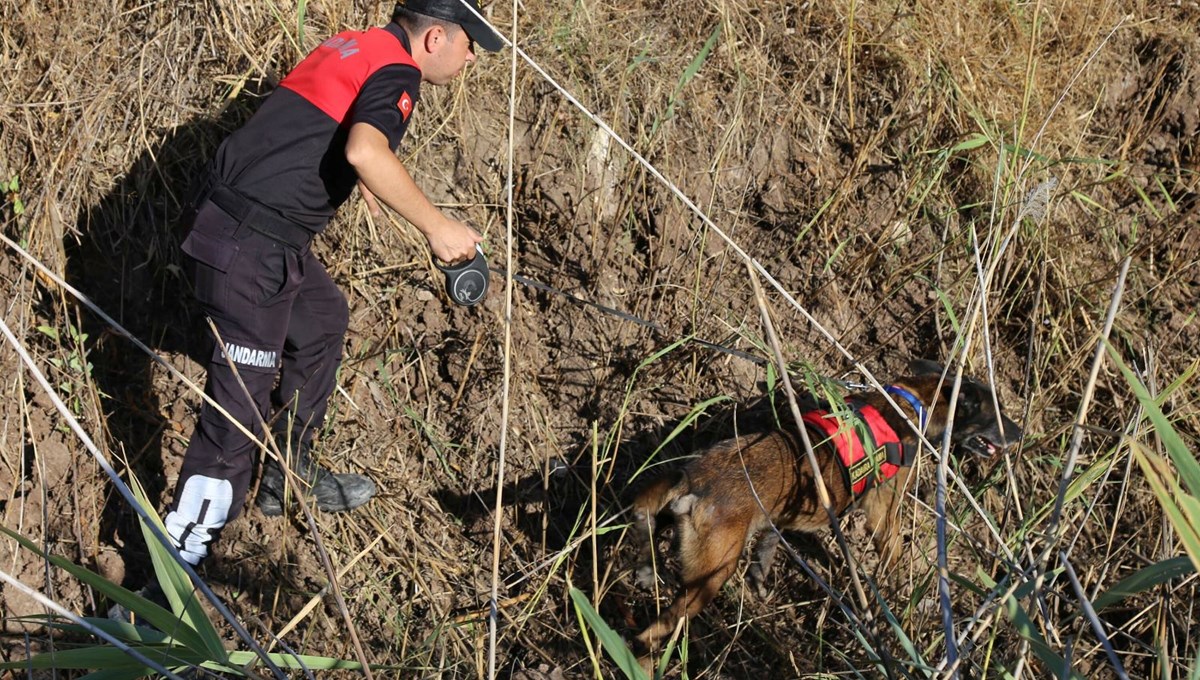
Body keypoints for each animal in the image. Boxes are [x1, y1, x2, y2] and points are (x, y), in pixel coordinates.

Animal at [628, 359, 1022, 647]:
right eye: (997, 414)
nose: (1021, 434)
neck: (914, 404)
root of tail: (692, 481)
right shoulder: (884, 517)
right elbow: (894, 559)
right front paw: (904, 602)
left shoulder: (778, 518)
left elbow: (767, 546)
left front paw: (760, 580)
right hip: (710, 578)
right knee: (653, 630)